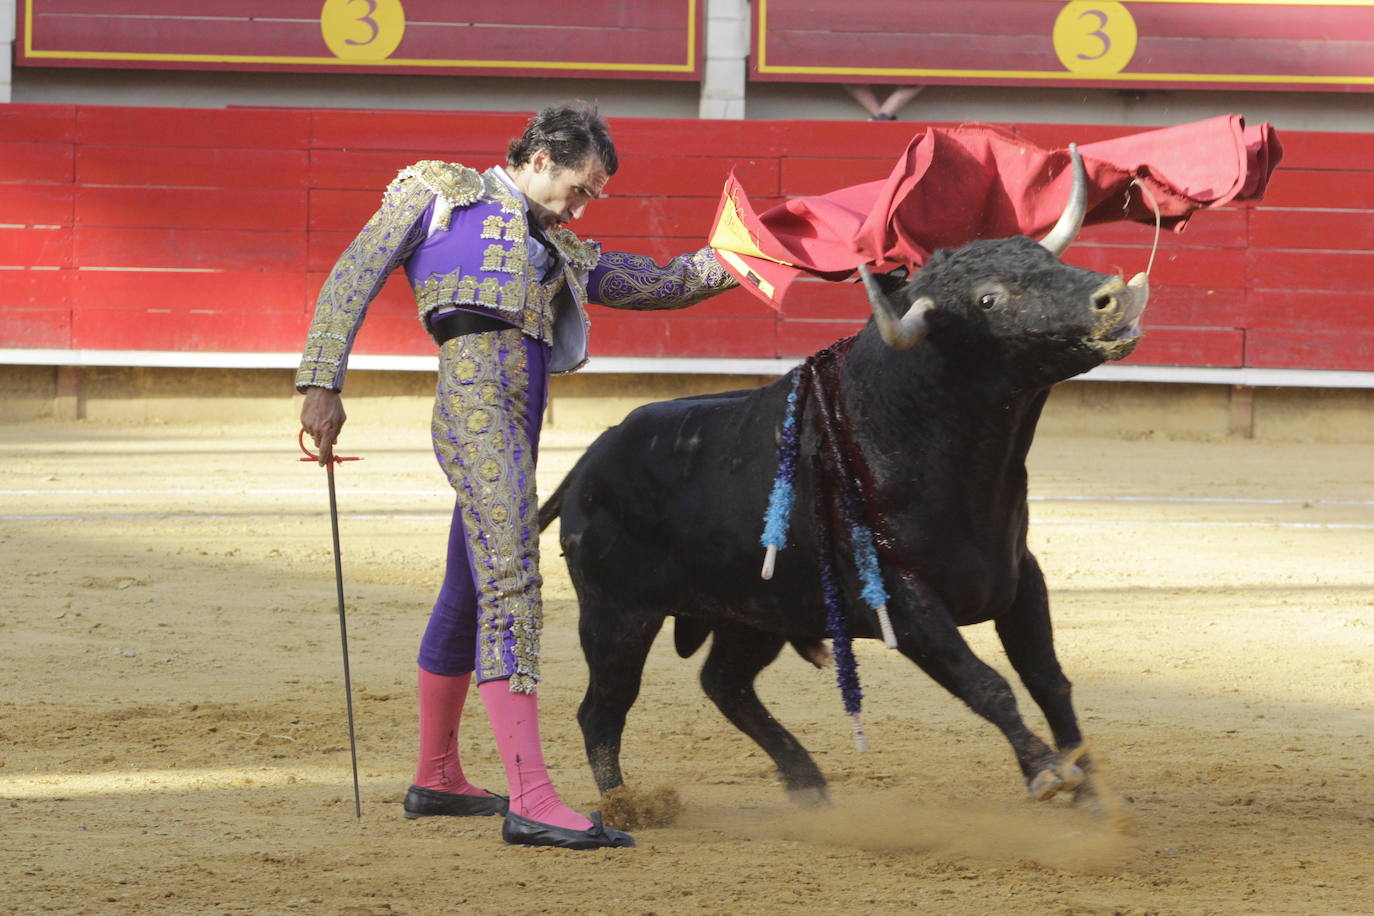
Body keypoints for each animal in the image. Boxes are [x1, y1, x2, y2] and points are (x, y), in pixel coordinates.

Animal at [535, 150, 1148, 807]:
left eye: (1045, 258)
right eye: (988, 301)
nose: (1113, 297)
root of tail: (587, 463)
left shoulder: (1020, 576)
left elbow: (1047, 678)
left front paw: (1089, 784)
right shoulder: (900, 599)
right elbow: (986, 682)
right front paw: (1047, 772)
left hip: (756, 611)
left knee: (724, 683)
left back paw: (807, 784)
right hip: (617, 614)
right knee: (604, 709)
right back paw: (625, 805)